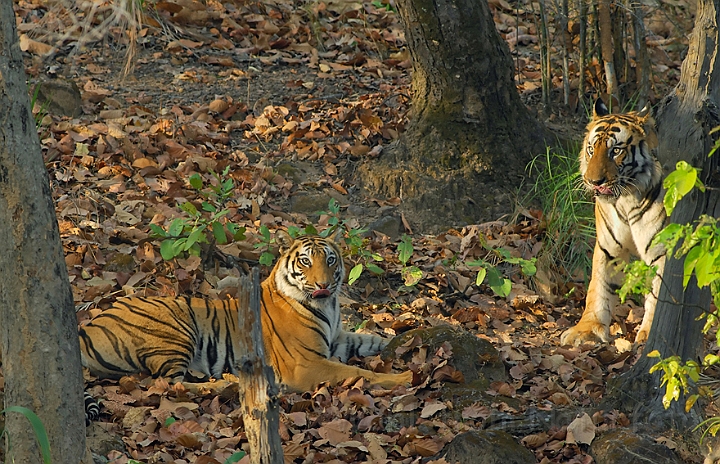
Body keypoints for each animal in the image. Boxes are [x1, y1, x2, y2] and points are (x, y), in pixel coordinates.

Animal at [79, 230, 414, 394]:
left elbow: (372, 340)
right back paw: (226, 383)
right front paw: (405, 377)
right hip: (176, 329)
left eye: (330, 260)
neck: (327, 307)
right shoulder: (307, 364)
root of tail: (89, 325)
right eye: (305, 261)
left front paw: (413, 336)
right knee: (170, 385)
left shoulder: (338, 339)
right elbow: (358, 372)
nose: (323, 284)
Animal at [560, 99, 668, 346]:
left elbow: (659, 293)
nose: (593, 181)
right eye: (592, 149)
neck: (626, 200)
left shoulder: (661, 249)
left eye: (615, 151)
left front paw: (649, 334)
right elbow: (599, 287)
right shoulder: (608, 247)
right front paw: (586, 329)